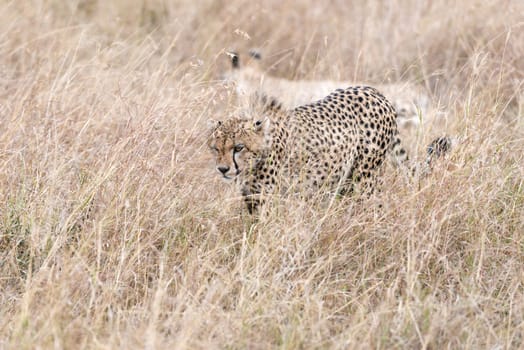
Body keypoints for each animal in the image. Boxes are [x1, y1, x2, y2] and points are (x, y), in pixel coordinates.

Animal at [207, 85, 440, 213]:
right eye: (216, 148)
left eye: (238, 147)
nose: (223, 169)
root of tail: (373, 91)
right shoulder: (252, 198)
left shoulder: (270, 198)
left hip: (363, 180)